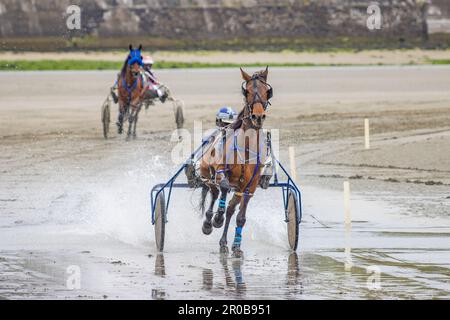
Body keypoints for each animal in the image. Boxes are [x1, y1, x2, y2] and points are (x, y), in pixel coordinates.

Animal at [200, 67, 270, 258]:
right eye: (247, 91)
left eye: (266, 91)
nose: (258, 116)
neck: (246, 147)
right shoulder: (220, 170)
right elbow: (223, 187)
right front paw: (217, 218)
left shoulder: (250, 186)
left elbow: (240, 217)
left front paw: (237, 246)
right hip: (206, 173)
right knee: (214, 191)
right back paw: (210, 221)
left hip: (238, 188)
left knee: (231, 207)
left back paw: (224, 242)